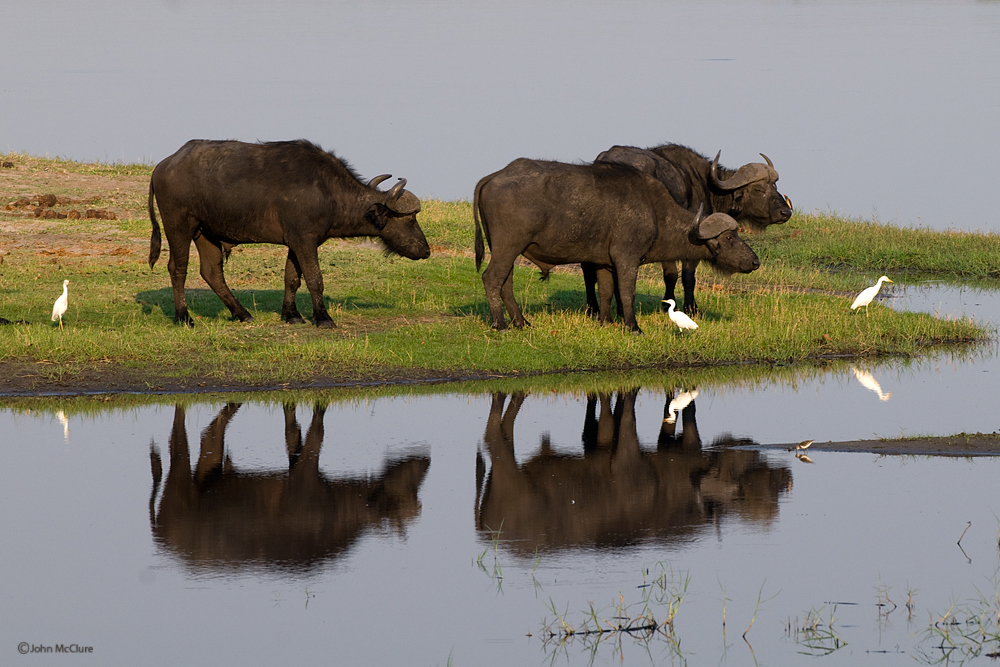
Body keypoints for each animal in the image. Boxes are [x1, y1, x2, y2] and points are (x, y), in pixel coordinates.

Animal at [148, 140, 430, 328]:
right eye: (411, 218)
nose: (426, 250)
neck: (328, 191)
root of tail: (164, 165)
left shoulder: (296, 242)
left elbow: (292, 278)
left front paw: (292, 315)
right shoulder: (305, 241)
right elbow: (315, 279)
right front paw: (323, 318)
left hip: (205, 233)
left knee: (212, 272)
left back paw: (242, 313)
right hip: (179, 226)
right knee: (178, 268)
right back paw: (183, 317)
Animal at [474, 157, 756, 334]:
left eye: (735, 234)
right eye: (729, 238)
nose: (755, 261)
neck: (654, 210)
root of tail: (495, 176)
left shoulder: (604, 264)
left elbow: (607, 291)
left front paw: (606, 322)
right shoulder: (627, 259)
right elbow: (627, 292)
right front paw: (633, 327)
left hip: (505, 250)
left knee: (505, 282)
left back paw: (522, 322)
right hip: (508, 247)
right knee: (491, 278)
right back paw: (501, 324)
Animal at [588, 144, 792, 316]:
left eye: (774, 186)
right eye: (758, 189)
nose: (786, 212)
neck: (705, 185)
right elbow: (684, 276)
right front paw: (689, 307)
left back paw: (595, 309)